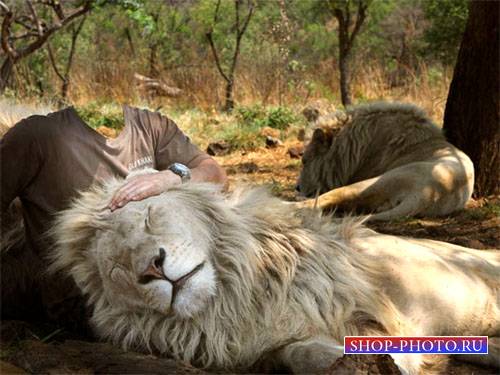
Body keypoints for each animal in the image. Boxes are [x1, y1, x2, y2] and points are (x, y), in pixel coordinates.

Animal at [47, 178, 500, 374]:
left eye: (148, 216)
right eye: (116, 269)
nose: (151, 267)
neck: (233, 297)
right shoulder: (263, 346)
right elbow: (300, 354)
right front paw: (357, 364)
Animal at [294, 101, 474, 222]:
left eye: (304, 161)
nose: (297, 187)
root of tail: (426, 196)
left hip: (373, 183)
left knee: (325, 199)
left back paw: (296, 202)